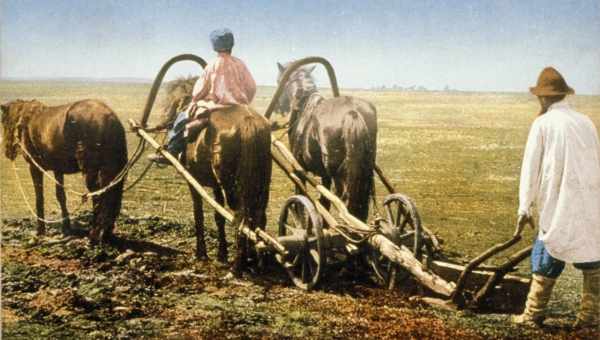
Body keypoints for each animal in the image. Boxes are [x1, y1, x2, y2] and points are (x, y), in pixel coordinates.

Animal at [0, 99, 127, 243]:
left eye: (3, 122)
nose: (7, 151)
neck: (26, 120)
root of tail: (110, 118)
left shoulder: (34, 167)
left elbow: (39, 198)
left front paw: (40, 230)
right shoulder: (58, 170)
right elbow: (61, 196)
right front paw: (66, 227)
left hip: (91, 171)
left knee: (98, 195)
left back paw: (94, 234)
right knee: (112, 196)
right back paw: (106, 233)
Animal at [162, 79, 270, 268]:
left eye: (172, 101)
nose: (166, 118)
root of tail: (248, 122)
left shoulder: (193, 181)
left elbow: (198, 213)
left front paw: (201, 253)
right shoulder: (215, 186)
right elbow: (218, 215)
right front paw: (222, 254)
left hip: (232, 186)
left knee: (240, 215)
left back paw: (238, 265)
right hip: (261, 183)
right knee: (258, 214)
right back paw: (256, 259)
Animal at [276, 61, 376, 220]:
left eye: (279, 81)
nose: (279, 108)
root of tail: (352, 112)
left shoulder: (298, 167)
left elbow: (300, 198)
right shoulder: (324, 175)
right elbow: (325, 202)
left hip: (339, 176)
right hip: (365, 170)